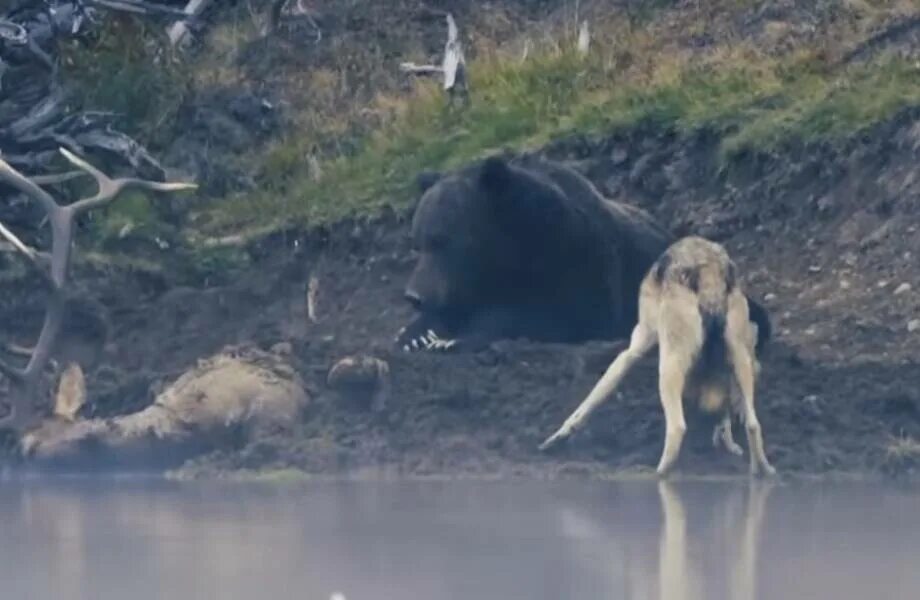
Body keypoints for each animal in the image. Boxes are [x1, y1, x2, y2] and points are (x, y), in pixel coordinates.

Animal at [398, 152, 772, 354]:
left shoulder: (575, 255)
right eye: (418, 241)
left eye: (445, 240)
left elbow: (554, 313)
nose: (414, 296)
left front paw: (453, 338)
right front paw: (418, 334)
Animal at [540, 236, 776, 478]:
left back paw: (657, 473)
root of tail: (707, 270)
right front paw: (729, 442)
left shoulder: (636, 346)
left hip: (669, 365)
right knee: (753, 424)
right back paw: (761, 470)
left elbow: (593, 397)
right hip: (741, 360)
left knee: (677, 428)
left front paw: (557, 437)